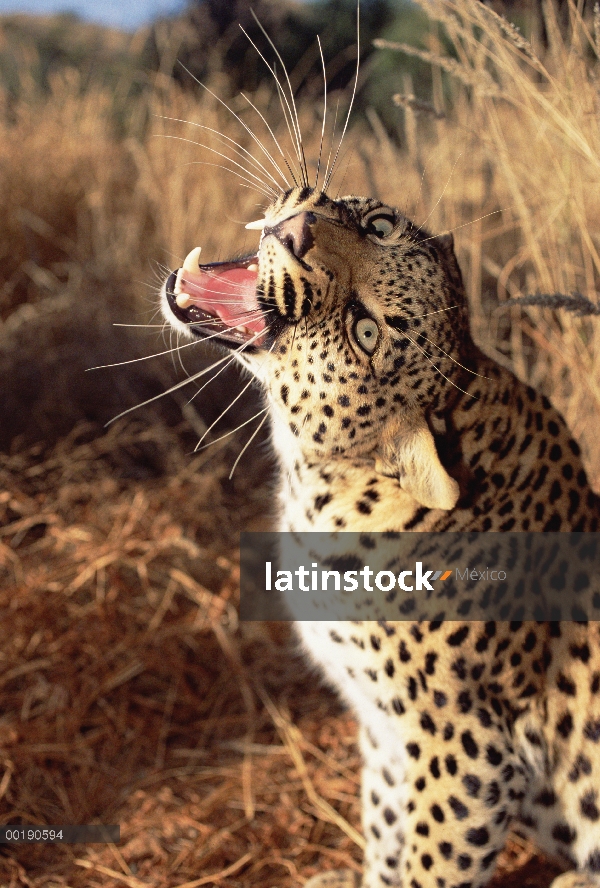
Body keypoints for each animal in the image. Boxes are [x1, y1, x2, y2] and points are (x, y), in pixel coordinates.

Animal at [158, 182, 600, 888]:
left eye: (363, 331)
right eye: (380, 224)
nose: (301, 230)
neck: (320, 482)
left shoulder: (468, 749)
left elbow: (427, 864)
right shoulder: (388, 734)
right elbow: (386, 832)